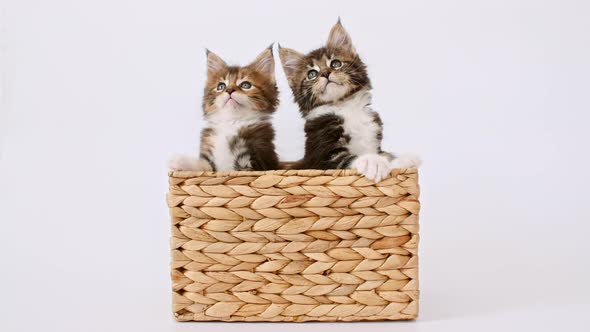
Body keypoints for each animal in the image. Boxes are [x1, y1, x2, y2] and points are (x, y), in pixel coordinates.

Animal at [280, 20, 424, 182]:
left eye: (335, 64)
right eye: (312, 74)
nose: (325, 73)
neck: (345, 106)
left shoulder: (375, 143)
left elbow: (385, 155)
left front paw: (404, 158)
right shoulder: (321, 157)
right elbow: (346, 159)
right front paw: (372, 162)